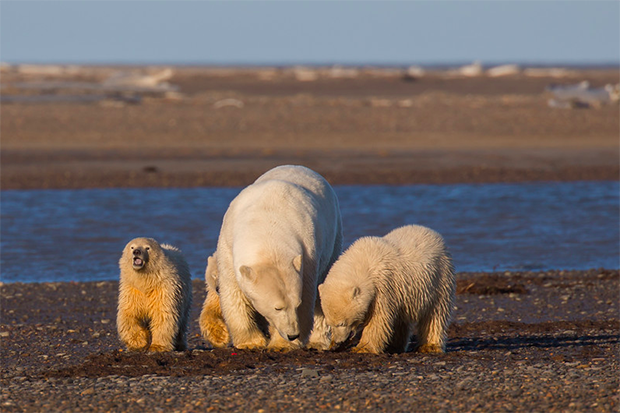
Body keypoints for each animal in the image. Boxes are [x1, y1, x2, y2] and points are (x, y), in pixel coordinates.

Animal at [217, 165, 344, 350]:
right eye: (277, 308)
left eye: (296, 304)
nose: (293, 334)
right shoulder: (228, 241)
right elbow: (232, 290)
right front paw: (251, 342)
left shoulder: (308, 251)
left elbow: (308, 295)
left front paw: (282, 344)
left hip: (334, 236)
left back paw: (317, 341)